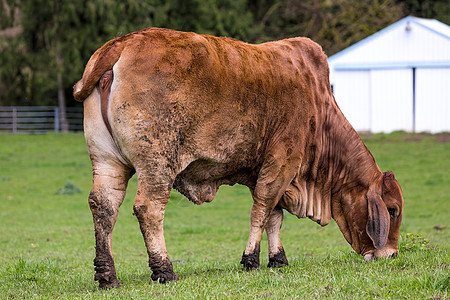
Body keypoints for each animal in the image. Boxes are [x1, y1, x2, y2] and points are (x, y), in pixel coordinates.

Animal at [73, 28, 404, 288]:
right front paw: (251, 259)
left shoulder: (263, 170)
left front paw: (277, 258)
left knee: (103, 207)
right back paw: (164, 270)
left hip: (107, 162)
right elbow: (262, 211)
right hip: (157, 163)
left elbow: (274, 216)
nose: (391, 254)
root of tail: (123, 43)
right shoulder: (282, 163)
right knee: (149, 209)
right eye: (393, 210)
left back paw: (107, 276)